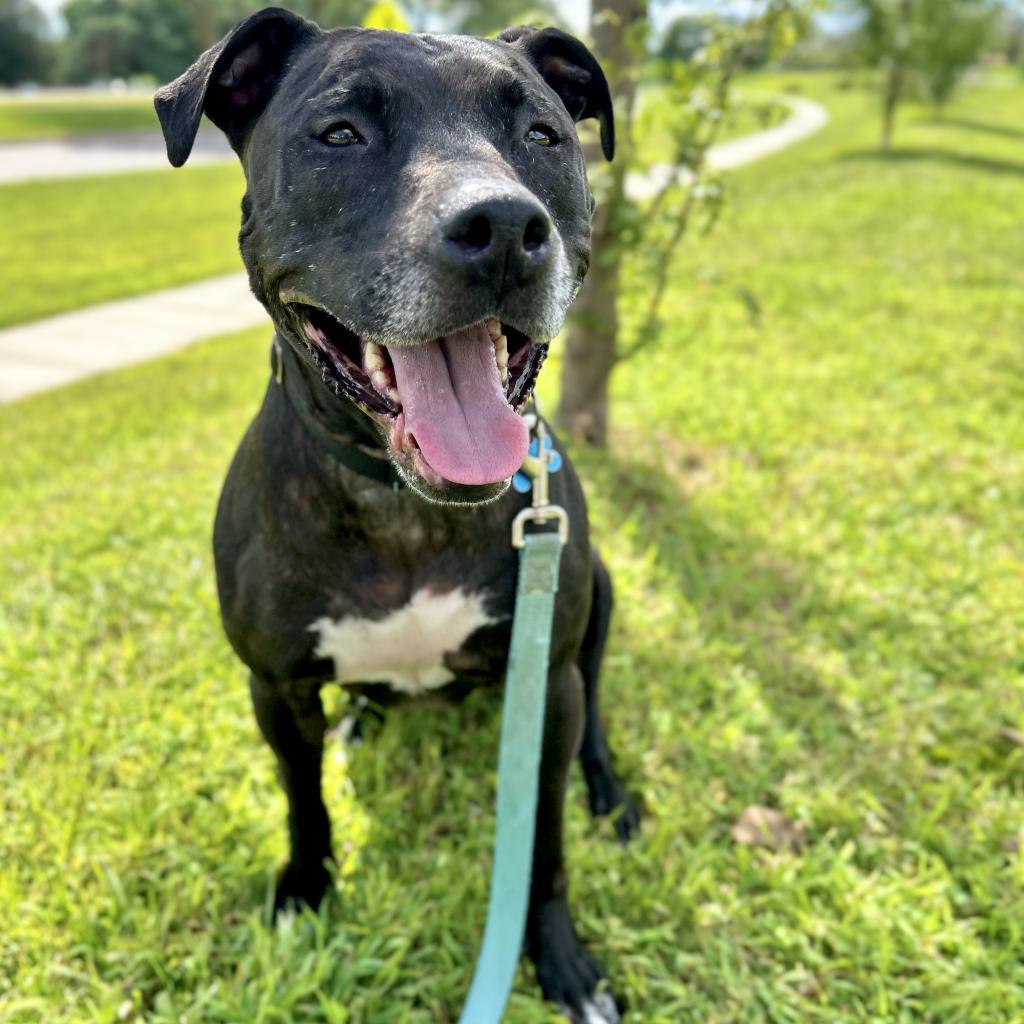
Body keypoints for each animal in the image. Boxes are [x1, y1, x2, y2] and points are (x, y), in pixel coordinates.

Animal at [154, 6, 634, 1015]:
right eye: (340, 135)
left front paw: (561, 958)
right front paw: (306, 890)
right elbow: (303, 800)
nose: (503, 227)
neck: (400, 506)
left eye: (542, 135)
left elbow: (544, 841)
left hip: (597, 611)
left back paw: (612, 791)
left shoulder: (549, 681)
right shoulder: (273, 686)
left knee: (599, 715)